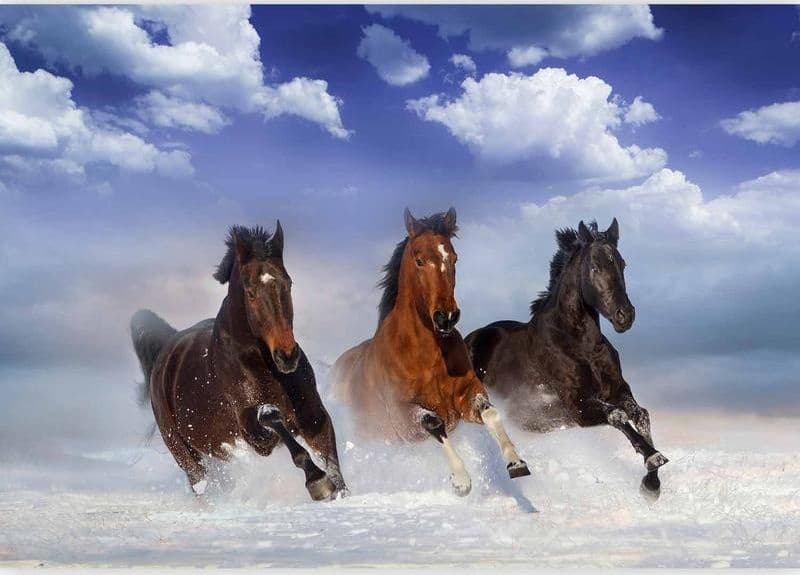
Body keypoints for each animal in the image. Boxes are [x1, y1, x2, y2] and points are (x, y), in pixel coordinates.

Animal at [130, 223, 346, 501]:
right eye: (250, 292)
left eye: (288, 283)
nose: (287, 356)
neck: (261, 363)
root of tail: (167, 350)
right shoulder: (255, 436)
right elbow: (272, 418)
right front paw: (317, 482)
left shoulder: (313, 416)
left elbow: (332, 461)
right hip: (184, 453)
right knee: (201, 485)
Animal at [332, 208, 530, 496]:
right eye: (419, 260)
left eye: (454, 257)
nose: (446, 317)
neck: (428, 356)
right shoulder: (402, 416)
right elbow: (434, 424)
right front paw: (461, 481)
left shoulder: (466, 396)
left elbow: (491, 413)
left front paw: (516, 463)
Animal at [465, 219, 668, 498]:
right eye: (594, 267)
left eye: (622, 263)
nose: (625, 316)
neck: (580, 346)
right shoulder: (577, 405)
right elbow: (617, 416)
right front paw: (652, 457)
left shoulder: (617, 390)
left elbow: (641, 415)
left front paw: (651, 483)